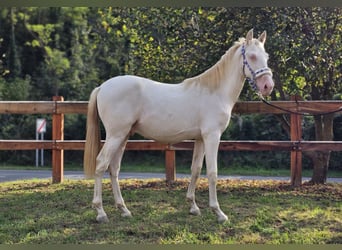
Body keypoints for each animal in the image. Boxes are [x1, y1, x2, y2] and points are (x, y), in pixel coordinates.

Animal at [84, 29, 274, 223]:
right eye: (252, 56)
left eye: (266, 56)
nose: (268, 86)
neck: (215, 92)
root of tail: (102, 87)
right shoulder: (212, 136)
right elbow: (212, 172)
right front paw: (219, 213)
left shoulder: (200, 139)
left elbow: (196, 170)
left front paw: (193, 207)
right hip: (115, 135)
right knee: (101, 164)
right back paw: (101, 213)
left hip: (123, 136)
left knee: (114, 168)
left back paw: (124, 210)